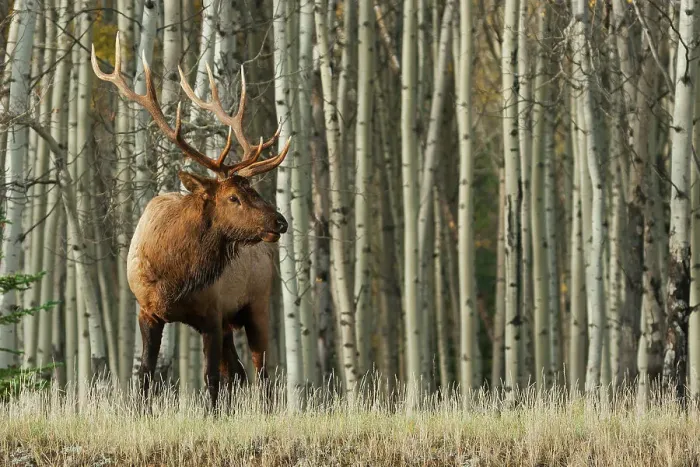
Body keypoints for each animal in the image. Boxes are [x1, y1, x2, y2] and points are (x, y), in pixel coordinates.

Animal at [91, 33, 291, 411]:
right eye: (234, 197)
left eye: (254, 190)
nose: (280, 222)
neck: (176, 276)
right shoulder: (148, 311)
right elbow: (146, 375)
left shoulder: (212, 315)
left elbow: (211, 380)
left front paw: (212, 416)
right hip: (232, 322)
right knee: (238, 372)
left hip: (257, 306)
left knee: (261, 373)